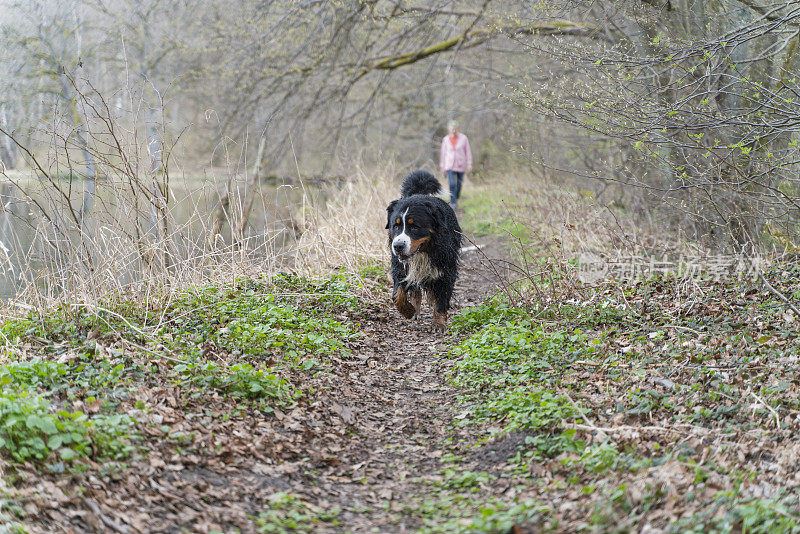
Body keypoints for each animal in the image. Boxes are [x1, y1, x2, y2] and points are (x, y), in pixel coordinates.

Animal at [388, 172, 462, 330]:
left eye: (415, 227)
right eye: (395, 226)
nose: (398, 246)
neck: (425, 251)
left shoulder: (445, 270)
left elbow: (441, 299)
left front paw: (439, 323)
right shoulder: (400, 267)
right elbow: (397, 294)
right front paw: (408, 311)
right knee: (416, 290)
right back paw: (415, 310)